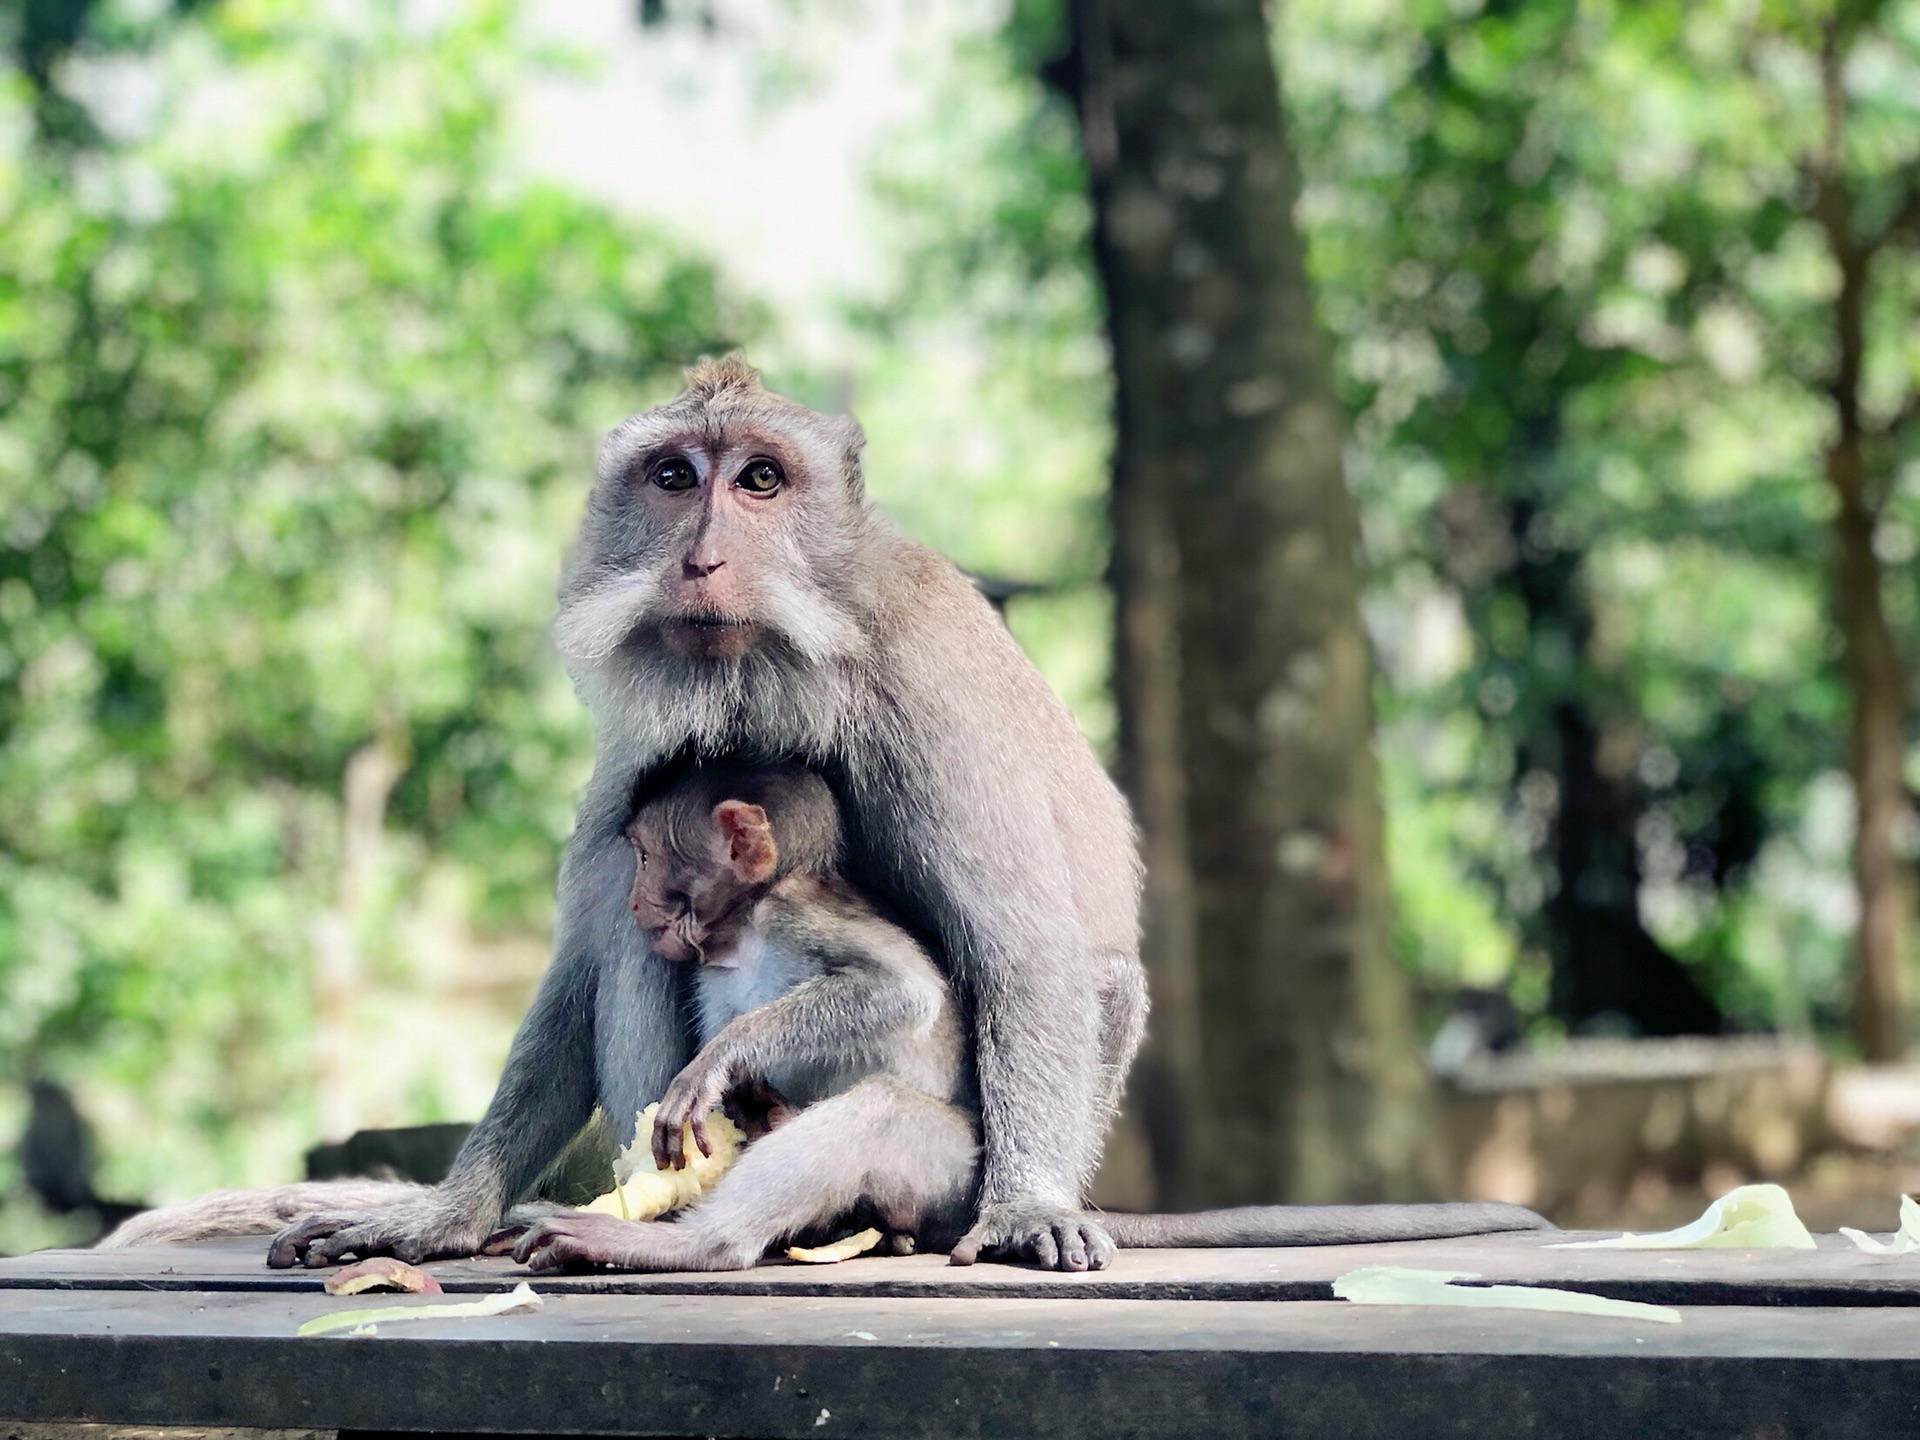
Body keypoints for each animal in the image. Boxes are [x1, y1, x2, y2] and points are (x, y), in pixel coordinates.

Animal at [270, 359, 1144, 1274]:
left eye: (761, 479)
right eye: (674, 477)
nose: (701, 559)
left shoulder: (928, 688)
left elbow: (1023, 952)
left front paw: (1027, 1206)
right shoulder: (644, 735)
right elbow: (582, 962)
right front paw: (446, 1213)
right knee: (629, 945)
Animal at [514, 768, 1559, 1274]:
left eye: (651, 854)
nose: (636, 899)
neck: (739, 933)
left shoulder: (798, 915)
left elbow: (901, 991)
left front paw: (721, 1068)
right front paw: (741, 1099)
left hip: (957, 1169)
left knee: (879, 1116)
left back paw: (693, 1242)